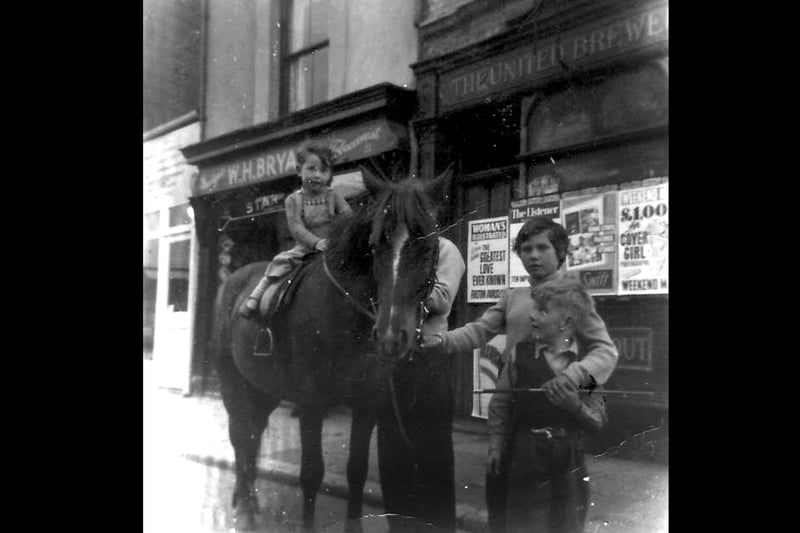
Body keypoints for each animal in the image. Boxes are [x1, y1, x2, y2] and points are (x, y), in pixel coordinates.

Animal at [209, 165, 454, 528]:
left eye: (429, 244)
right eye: (374, 245)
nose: (391, 337)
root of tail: (233, 282)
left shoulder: (367, 404)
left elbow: (357, 472)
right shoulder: (311, 404)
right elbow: (311, 474)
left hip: (263, 389)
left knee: (251, 436)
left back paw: (249, 500)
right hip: (231, 383)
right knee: (240, 436)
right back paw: (245, 510)